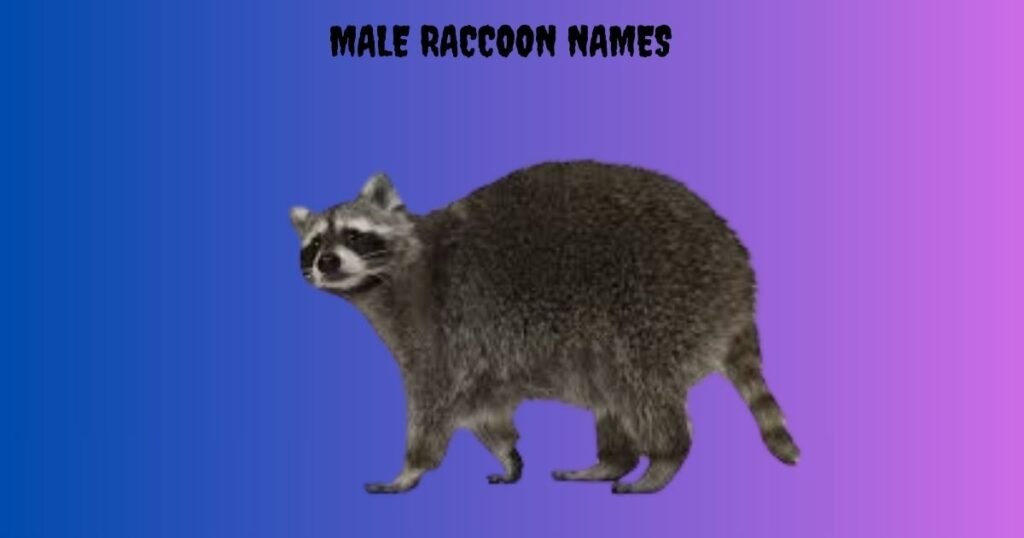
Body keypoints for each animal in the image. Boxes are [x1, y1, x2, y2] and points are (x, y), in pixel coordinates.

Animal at [289, 160, 799, 494]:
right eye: (313, 245)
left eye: (353, 235)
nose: (326, 262)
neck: (386, 280)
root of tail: (740, 277)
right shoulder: (479, 355)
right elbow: (484, 407)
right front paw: (506, 452)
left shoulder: (439, 327)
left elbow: (435, 404)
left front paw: (410, 469)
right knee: (612, 392)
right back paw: (612, 461)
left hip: (659, 304)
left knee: (640, 386)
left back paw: (663, 458)